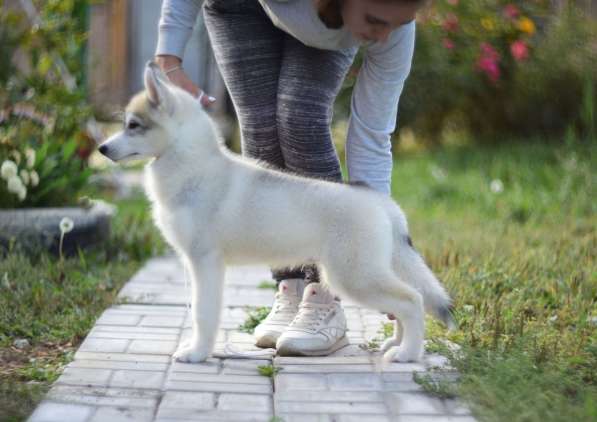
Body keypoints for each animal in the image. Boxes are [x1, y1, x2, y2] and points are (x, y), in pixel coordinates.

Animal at [99, 62, 452, 362]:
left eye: (133, 126)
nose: (101, 149)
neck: (192, 166)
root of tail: (379, 200)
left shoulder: (204, 262)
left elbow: (202, 313)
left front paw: (196, 353)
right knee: (405, 303)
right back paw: (397, 343)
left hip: (353, 276)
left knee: (412, 301)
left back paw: (408, 354)